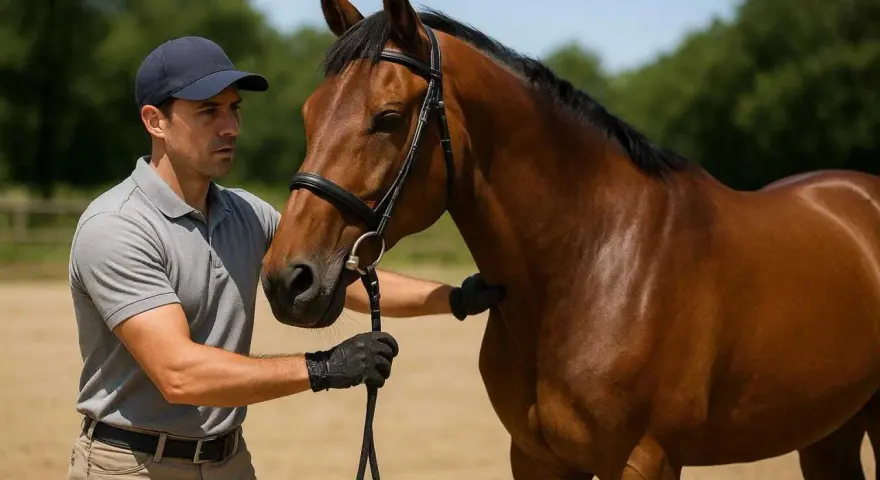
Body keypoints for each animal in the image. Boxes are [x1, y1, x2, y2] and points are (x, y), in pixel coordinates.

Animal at [259, 0, 880, 478]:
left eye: (387, 117)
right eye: (309, 113)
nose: (289, 280)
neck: (592, 267)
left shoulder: (645, 459)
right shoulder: (536, 457)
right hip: (830, 431)